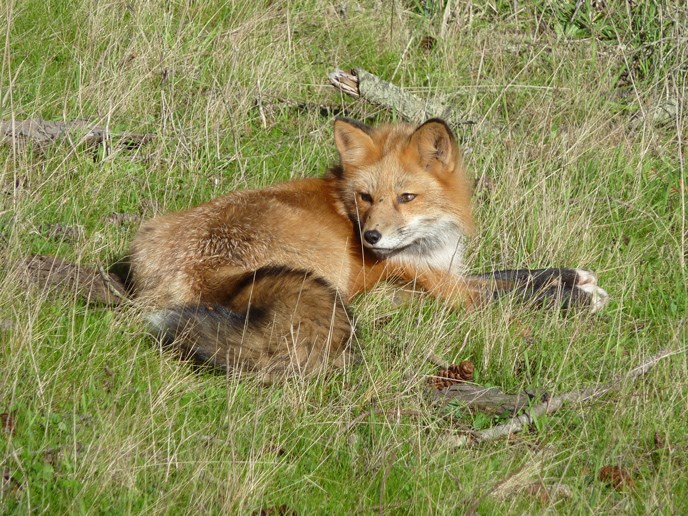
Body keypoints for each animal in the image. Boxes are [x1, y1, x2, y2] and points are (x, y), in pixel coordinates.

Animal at [129, 118, 609, 380]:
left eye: (406, 198)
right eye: (366, 197)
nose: (370, 239)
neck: (430, 245)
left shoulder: (444, 271)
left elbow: (517, 274)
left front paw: (574, 277)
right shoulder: (443, 287)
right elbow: (513, 293)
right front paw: (579, 298)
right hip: (331, 276)